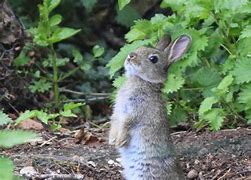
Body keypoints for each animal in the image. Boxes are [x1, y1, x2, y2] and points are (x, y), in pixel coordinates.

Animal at [109, 34, 191, 179]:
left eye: (153, 59)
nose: (131, 55)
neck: (144, 80)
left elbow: (127, 123)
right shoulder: (118, 110)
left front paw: (120, 141)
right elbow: (115, 120)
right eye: (140, 47)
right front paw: (112, 140)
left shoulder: (136, 109)